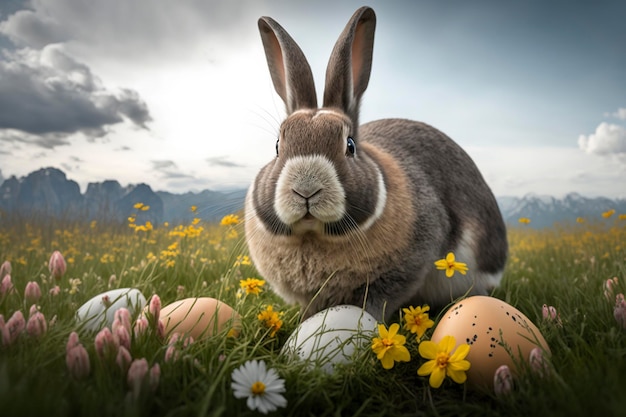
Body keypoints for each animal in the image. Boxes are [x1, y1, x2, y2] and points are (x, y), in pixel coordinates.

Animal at [244, 5, 508, 322]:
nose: (306, 190)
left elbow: (372, 304)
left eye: (350, 145)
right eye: (277, 147)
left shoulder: (399, 274)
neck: (315, 235)